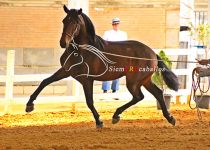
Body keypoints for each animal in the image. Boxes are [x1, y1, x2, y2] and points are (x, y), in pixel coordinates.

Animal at [25, 5, 179, 127]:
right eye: (64, 21)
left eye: (76, 23)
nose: (63, 43)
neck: (81, 50)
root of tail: (152, 52)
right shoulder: (66, 71)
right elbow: (45, 81)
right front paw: (29, 105)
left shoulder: (87, 79)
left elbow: (89, 101)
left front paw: (99, 122)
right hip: (144, 80)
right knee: (157, 93)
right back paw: (170, 118)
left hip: (134, 81)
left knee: (139, 96)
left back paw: (116, 116)